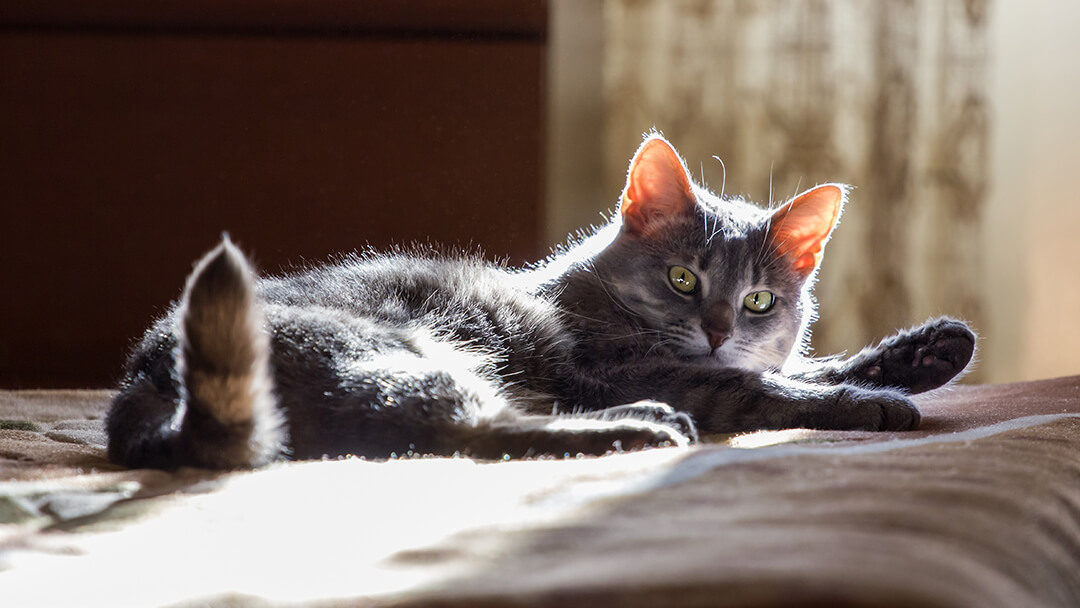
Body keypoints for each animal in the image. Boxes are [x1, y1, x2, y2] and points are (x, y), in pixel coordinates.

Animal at [107, 134, 980, 470]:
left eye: (761, 299)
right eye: (684, 281)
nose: (719, 327)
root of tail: (149, 380)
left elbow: (806, 363)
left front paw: (926, 350)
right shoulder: (637, 366)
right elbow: (767, 387)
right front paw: (870, 401)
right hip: (398, 352)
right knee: (467, 433)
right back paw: (640, 427)